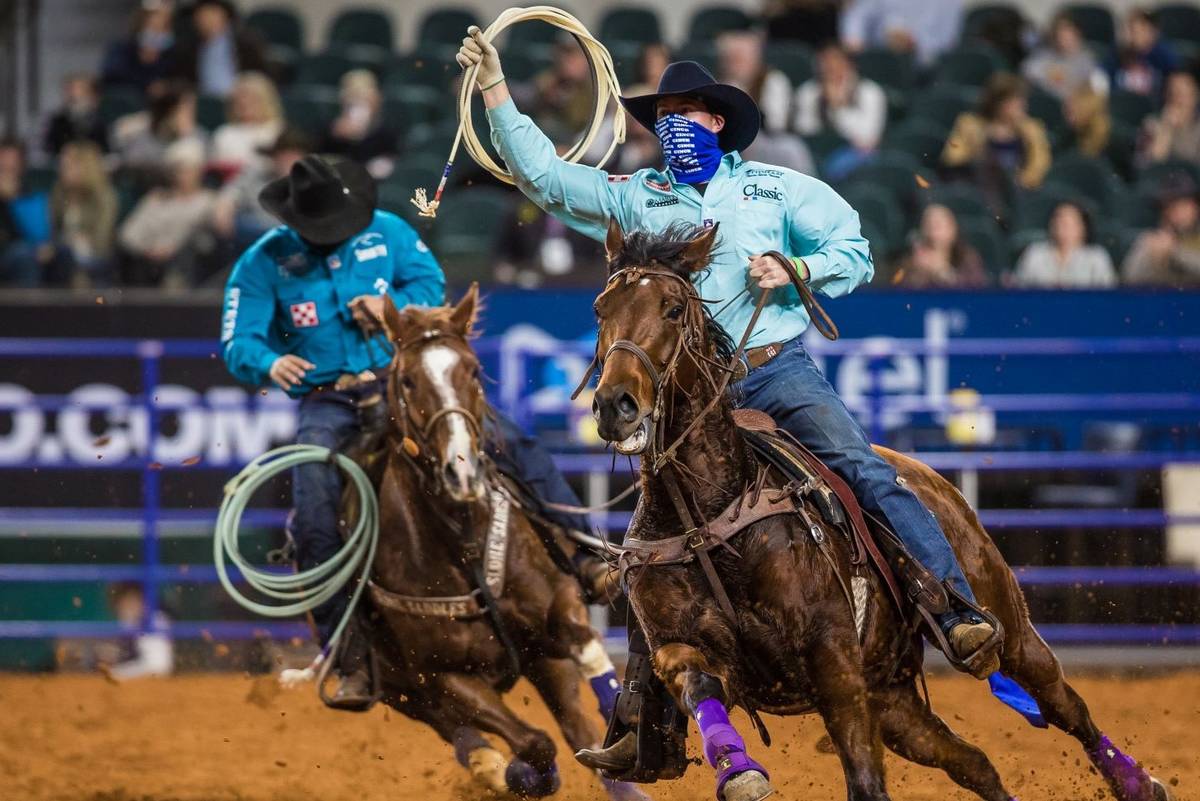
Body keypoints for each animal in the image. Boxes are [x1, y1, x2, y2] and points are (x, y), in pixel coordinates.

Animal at [364, 288, 648, 801]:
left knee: (573, 723)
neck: (464, 542)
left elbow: (587, 658)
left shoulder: (554, 615)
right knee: (471, 739)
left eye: (474, 371)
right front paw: (523, 775)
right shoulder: (444, 678)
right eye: (408, 381)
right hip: (408, 693)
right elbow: (535, 744)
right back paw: (498, 769)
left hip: (539, 660)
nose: (461, 471)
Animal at [590, 219, 1171, 801]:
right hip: (894, 702)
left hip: (1006, 627)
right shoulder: (681, 648)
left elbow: (866, 781)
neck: (712, 519)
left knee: (1064, 704)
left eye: (671, 308)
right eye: (600, 308)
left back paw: (1138, 782)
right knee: (974, 762)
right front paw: (739, 770)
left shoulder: (834, 662)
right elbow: (696, 681)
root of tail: (932, 479)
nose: (615, 404)